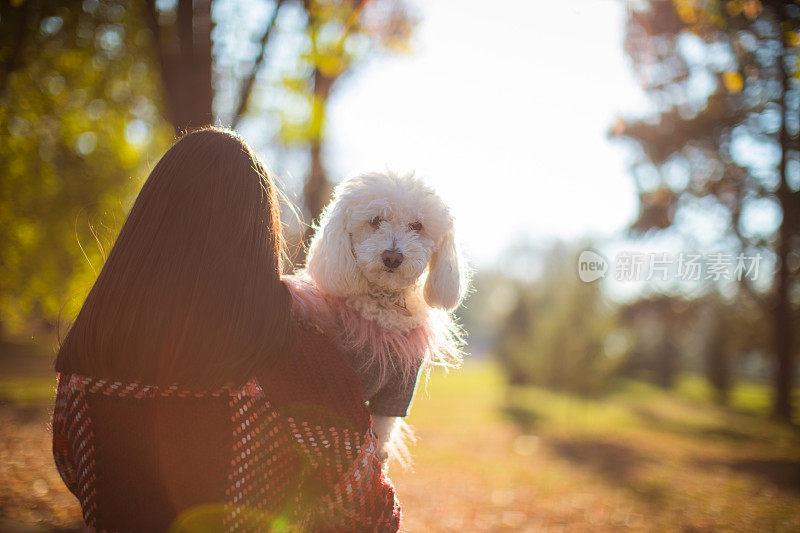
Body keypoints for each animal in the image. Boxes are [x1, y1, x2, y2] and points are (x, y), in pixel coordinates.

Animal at [290, 170, 468, 462]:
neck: (384, 307)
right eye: (375, 221)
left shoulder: (398, 389)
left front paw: (379, 458)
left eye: (417, 225)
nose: (392, 257)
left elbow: (383, 430)